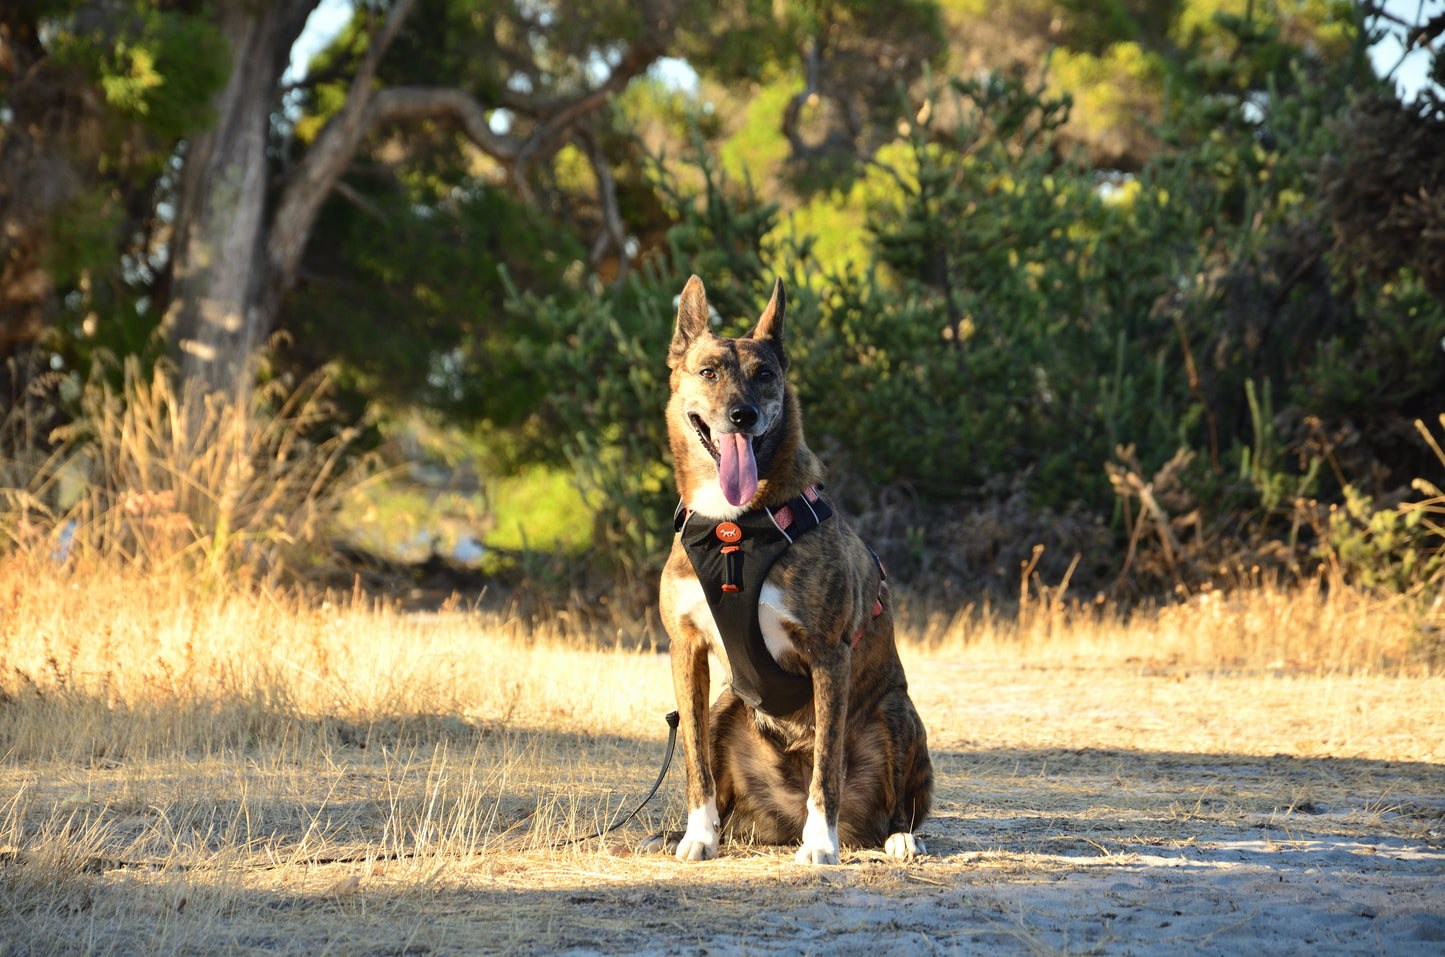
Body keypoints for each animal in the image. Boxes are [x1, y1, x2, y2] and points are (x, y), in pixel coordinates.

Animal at [658, 273, 930, 867]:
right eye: (708, 371)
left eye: (765, 375)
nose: (743, 415)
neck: (734, 528)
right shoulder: (686, 650)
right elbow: (695, 764)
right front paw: (697, 836)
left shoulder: (829, 655)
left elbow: (826, 766)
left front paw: (821, 845)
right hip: (726, 705)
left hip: (896, 711)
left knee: (896, 802)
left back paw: (895, 837)